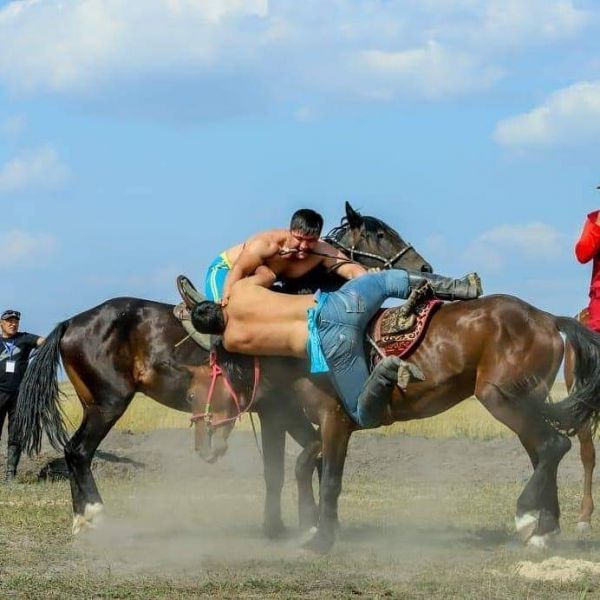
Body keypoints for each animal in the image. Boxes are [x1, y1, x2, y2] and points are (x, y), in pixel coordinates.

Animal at [12, 203, 432, 536]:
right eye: (381, 234)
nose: (425, 268)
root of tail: (72, 321)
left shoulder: (282, 410)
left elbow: (305, 458)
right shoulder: (278, 409)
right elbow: (283, 467)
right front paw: (288, 526)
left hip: (95, 403)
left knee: (75, 452)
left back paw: (82, 518)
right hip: (109, 403)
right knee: (79, 451)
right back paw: (94, 516)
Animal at [193, 211, 600, 552]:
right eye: (379, 235)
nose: (203, 442)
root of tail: (548, 318)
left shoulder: (334, 420)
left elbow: (330, 480)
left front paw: (321, 539)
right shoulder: (318, 423)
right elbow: (309, 466)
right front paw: (317, 528)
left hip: (501, 398)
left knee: (553, 447)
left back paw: (528, 518)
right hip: (524, 402)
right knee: (543, 453)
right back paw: (545, 530)